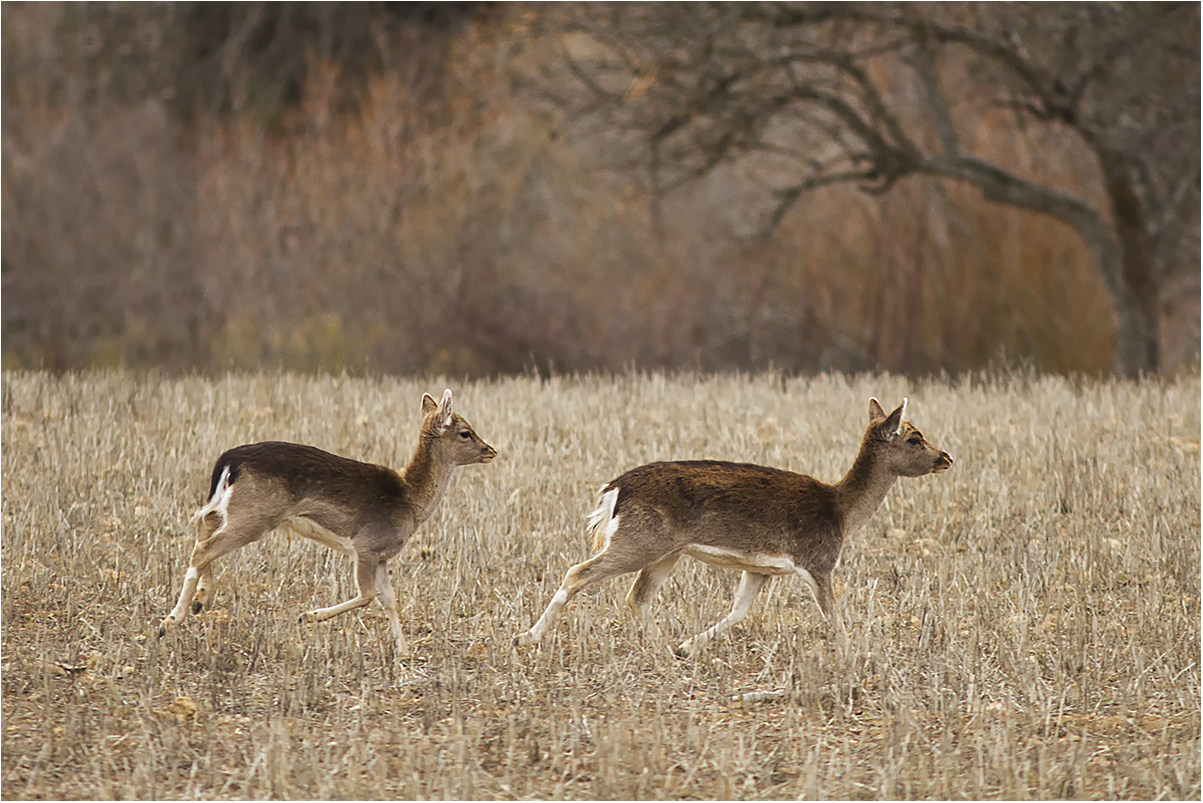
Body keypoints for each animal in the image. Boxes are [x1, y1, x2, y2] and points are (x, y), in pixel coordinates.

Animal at [158, 389, 496, 655]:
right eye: (465, 432)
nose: (491, 450)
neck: (410, 500)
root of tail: (229, 461)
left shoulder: (382, 555)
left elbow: (390, 600)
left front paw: (404, 653)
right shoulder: (366, 545)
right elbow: (368, 595)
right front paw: (308, 615)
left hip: (234, 508)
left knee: (202, 526)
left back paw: (200, 600)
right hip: (253, 514)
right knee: (204, 547)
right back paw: (170, 620)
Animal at [516, 397, 952, 656]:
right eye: (914, 439)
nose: (946, 457)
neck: (841, 511)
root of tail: (615, 488)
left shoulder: (760, 568)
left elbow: (738, 610)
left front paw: (687, 646)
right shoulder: (818, 561)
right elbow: (834, 617)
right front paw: (855, 653)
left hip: (665, 549)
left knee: (637, 596)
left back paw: (661, 648)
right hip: (640, 540)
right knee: (579, 572)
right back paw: (527, 636)